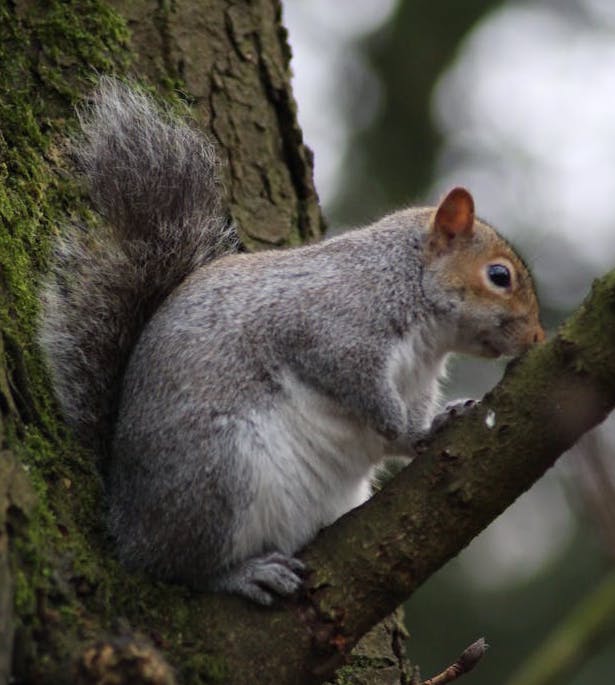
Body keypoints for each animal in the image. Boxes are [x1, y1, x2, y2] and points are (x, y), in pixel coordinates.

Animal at [39, 78, 545, 605]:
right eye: (499, 276)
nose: (537, 335)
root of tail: (126, 522)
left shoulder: (417, 379)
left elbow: (411, 412)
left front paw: (439, 420)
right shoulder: (334, 331)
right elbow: (363, 391)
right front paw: (408, 432)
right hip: (219, 476)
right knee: (180, 567)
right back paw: (242, 574)